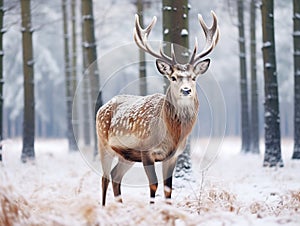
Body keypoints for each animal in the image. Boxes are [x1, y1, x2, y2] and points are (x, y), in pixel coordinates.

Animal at [97, 11, 219, 206]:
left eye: (193, 77)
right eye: (173, 77)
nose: (186, 90)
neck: (172, 135)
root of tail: (102, 107)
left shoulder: (173, 155)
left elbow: (168, 189)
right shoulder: (146, 150)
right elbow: (153, 185)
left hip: (126, 156)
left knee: (116, 176)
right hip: (103, 143)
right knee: (105, 177)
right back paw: (103, 208)